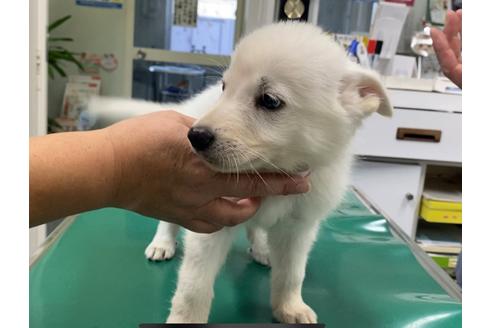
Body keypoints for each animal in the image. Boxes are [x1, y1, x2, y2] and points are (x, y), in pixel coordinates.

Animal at [89, 22, 392, 322]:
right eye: (226, 87)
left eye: (270, 100)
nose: (195, 136)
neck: (272, 171)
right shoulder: (209, 223)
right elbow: (193, 287)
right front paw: (185, 320)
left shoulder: (299, 228)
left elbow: (292, 274)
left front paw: (289, 307)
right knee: (169, 218)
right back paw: (163, 242)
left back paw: (262, 248)